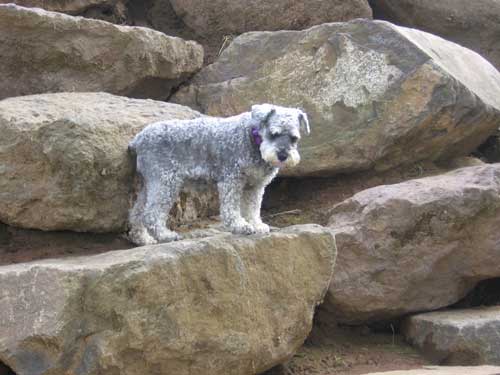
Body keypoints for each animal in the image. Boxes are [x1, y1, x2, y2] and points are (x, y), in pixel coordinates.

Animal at [127, 104, 310, 248]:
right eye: (274, 134)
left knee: (137, 213)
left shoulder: (255, 186)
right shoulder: (231, 180)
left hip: (151, 184)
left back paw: (143, 239)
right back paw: (166, 235)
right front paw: (239, 226)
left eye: (294, 138)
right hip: (165, 183)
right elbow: (231, 208)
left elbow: (253, 209)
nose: (282, 155)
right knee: (151, 214)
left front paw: (257, 225)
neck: (253, 137)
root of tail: (138, 139)